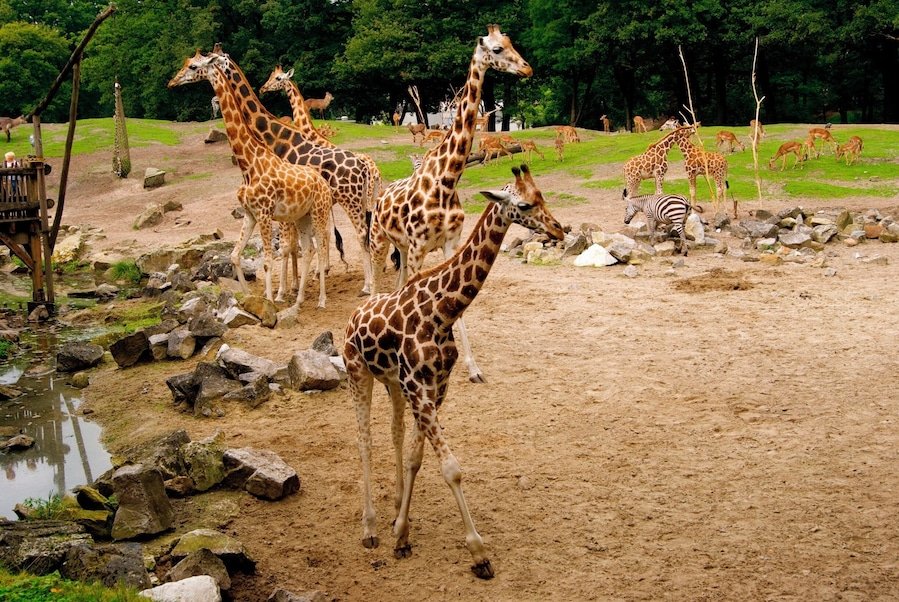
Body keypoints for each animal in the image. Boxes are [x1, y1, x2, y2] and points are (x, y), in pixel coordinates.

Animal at [168, 52, 332, 309]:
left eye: (193, 66)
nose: (171, 82)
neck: (248, 164)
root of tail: (323, 183)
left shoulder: (264, 213)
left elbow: (267, 260)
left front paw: (271, 300)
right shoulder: (249, 213)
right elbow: (235, 255)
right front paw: (247, 297)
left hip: (318, 211)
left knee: (322, 246)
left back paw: (322, 299)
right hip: (302, 216)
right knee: (308, 250)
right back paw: (299, 300)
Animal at [344, 164, 565, 579]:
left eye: (543, 196)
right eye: (525, 204)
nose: (560, 229)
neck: (441, 311)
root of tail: (352, 317)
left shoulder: (434, 386)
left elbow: (416, 458)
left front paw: (402, 532)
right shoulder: (419, 387)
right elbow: (451, 468)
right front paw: (479, 553)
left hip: (392, 384)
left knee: (394, 432)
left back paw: (393, 506)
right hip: (357, 373)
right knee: (364, 441)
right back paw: (368, 528)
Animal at [367, 24, 532, 384]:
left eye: (511, 42)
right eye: (497, 49)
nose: (527, 69)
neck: (447, 179)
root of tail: (382, 194)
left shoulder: (448, 243)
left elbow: (456, 308)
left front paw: (473, 368)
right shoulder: (418, 247)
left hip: (402, 248)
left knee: (397, 284)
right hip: (380, 241)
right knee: (374, 279)